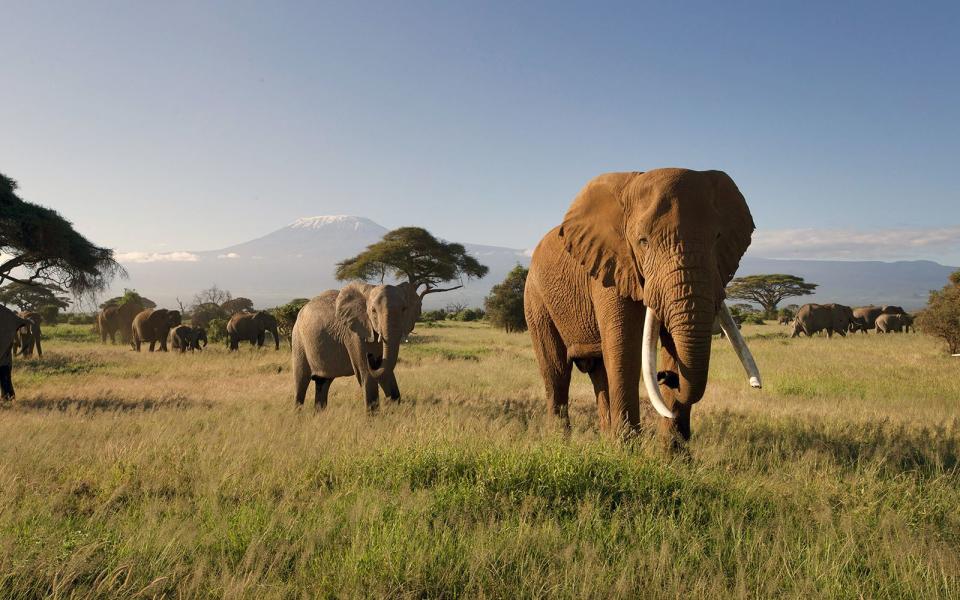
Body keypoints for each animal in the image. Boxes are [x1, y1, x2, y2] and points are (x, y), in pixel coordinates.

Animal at [288, 282, 416, 412]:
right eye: (373, 311)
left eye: (404, 309)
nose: (370, 356)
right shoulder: (353, 334)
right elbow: (366, 372)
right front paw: (374, 415)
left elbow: (384, 369)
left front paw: (395, 407)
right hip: (298, 339)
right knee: (301, 381)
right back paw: (297, 414)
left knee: (322, 382)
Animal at [520, 169, 760, 446]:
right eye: (643, 242)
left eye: (717, 238)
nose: (666, 376)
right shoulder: (612, 266)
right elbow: (625, 348)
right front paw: (627, 450)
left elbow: (671, 344)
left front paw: (673, 454)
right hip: (535, 299)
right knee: (556, 371)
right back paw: (560, 442)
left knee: (599, 373)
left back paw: (605, 440)